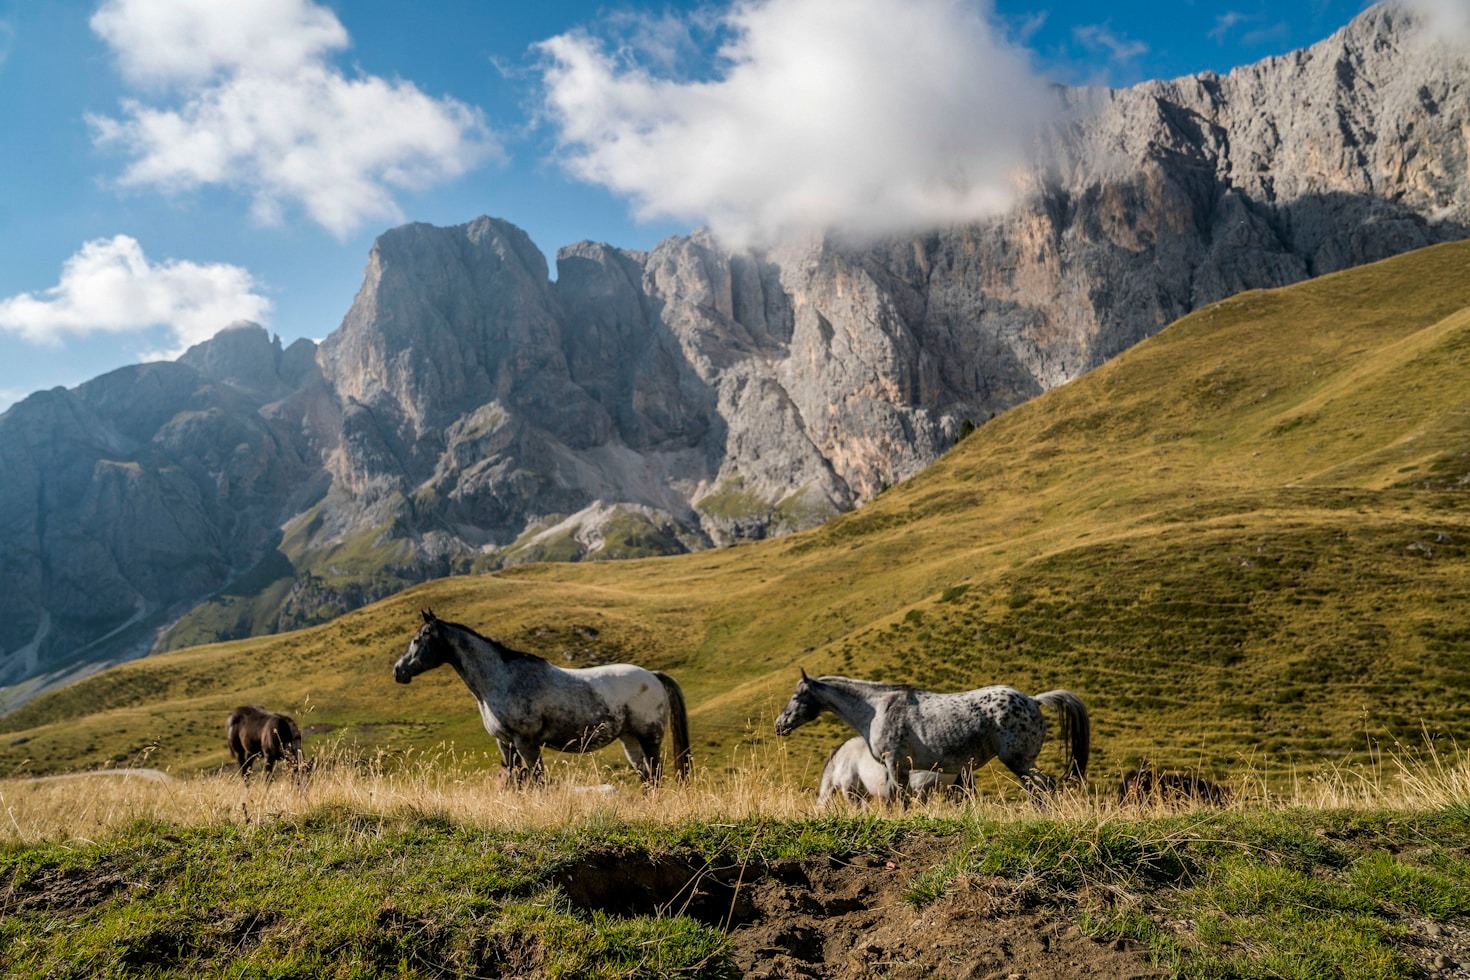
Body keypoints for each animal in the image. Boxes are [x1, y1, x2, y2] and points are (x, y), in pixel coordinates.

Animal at [393, 610, 692, 785]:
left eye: (418, 640)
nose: (398, 670)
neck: (501, 679)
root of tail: (653, 676)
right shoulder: (505, 743)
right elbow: (514, 778)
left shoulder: (526, 743)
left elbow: (537, 779)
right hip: (630, 739)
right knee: (646, 777)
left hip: (649, 737)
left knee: (655, 774)